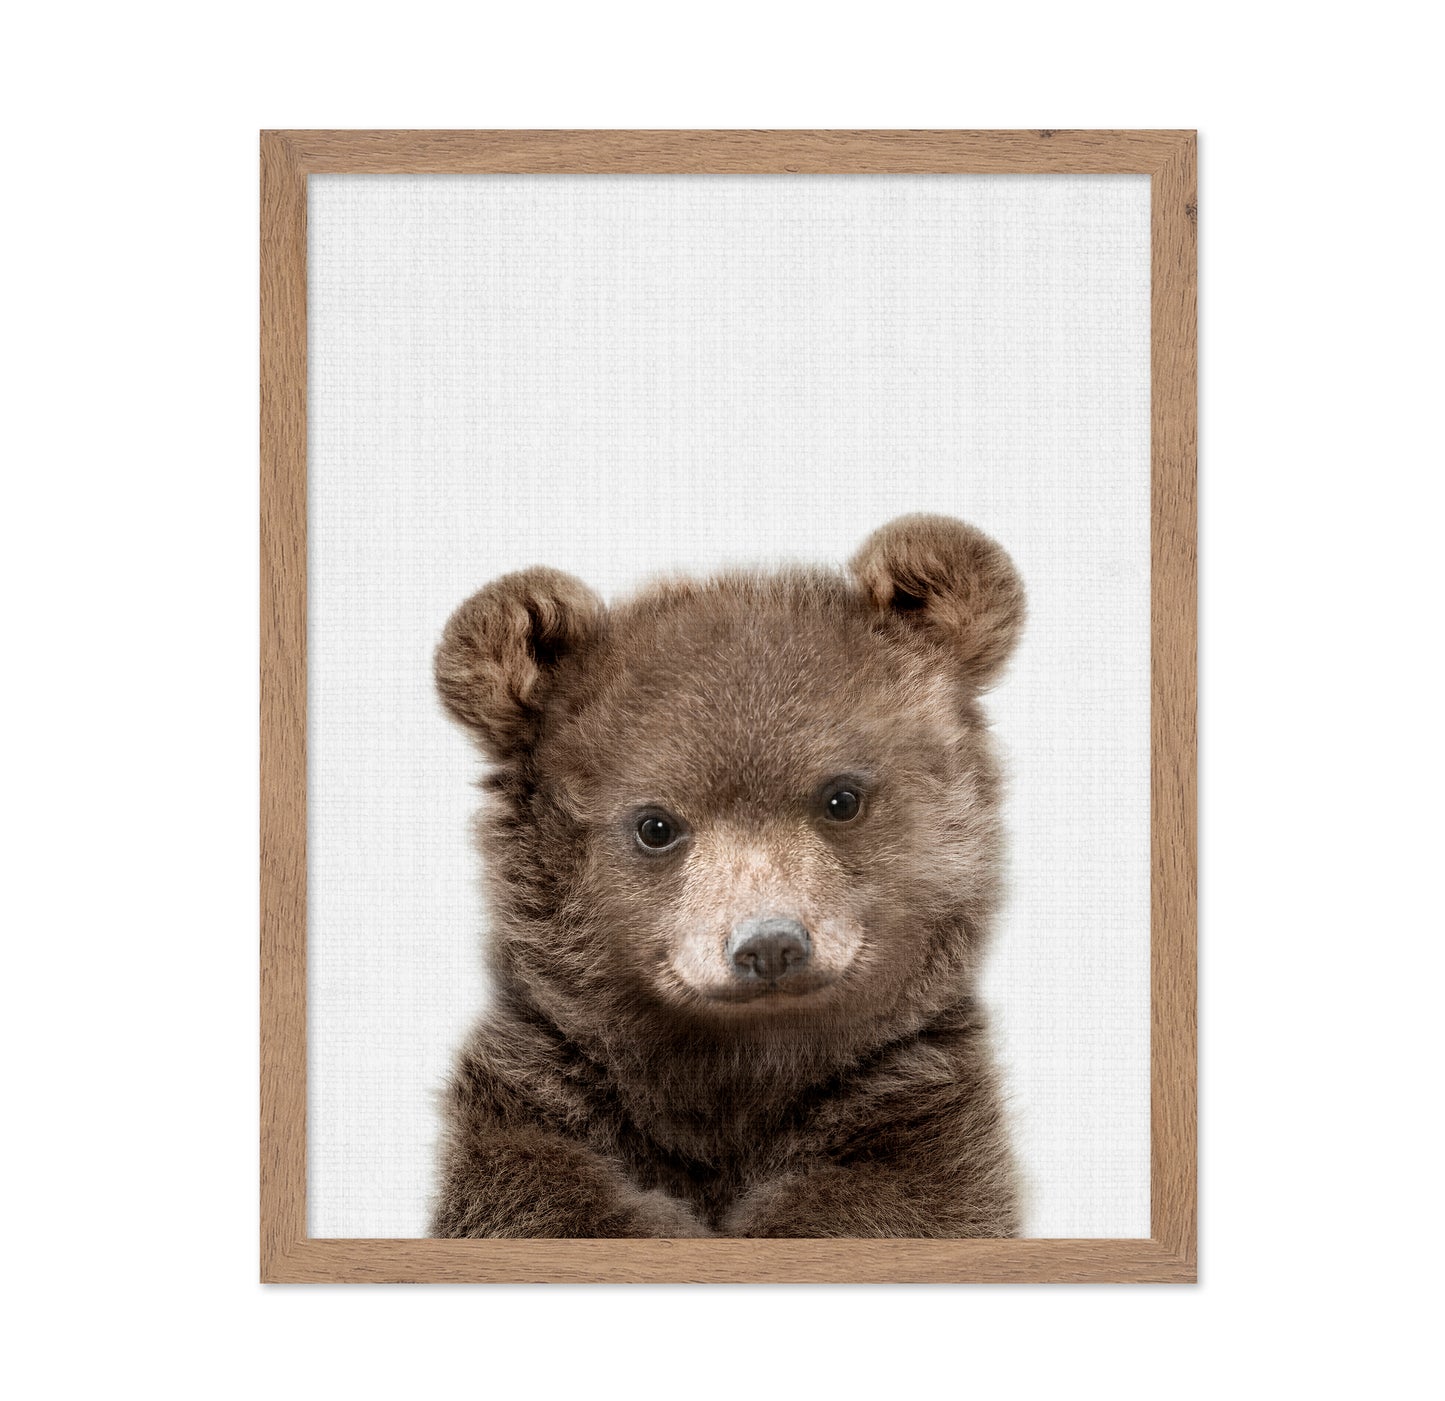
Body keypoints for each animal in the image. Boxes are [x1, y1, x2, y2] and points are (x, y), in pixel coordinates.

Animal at [430, 514, 1025, 1238]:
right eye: (655, 824)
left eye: (841, 797)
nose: (769, 945)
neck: (737, 1074)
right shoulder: (543, 1093)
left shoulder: (910, 1107)